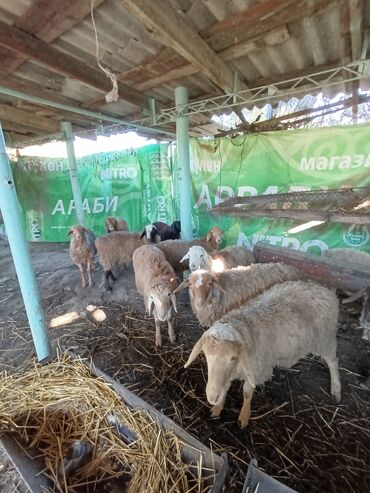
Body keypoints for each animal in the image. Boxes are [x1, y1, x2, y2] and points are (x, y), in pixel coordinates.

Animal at [185, 280, 342, 426]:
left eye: (233, 358)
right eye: (206, 356)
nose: (212, 398)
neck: (243, 328)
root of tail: (324, 289)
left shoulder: (255, 371)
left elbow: (247, 393)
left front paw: (244, 417)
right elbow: (226, 387)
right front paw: (217, 408)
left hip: (325, 338)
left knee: (333, 361)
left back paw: (336, 389)